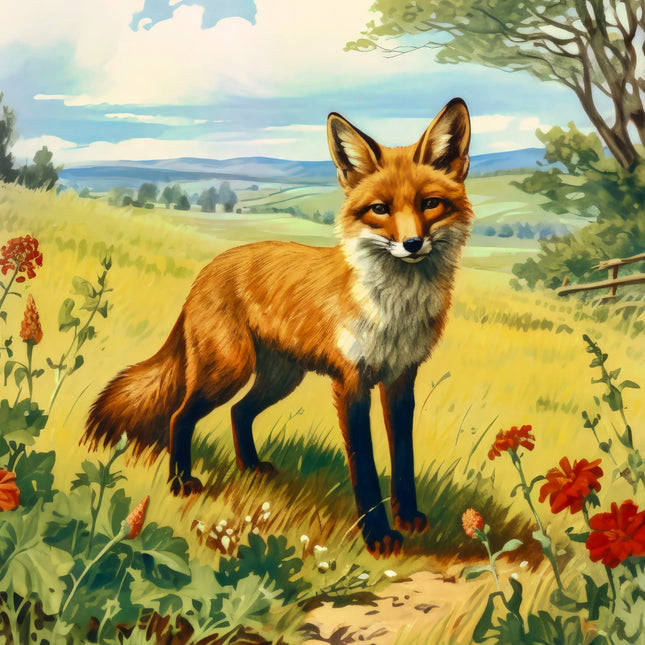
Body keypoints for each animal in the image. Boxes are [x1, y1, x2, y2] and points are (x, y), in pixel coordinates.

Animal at [83, 98, 473, 556]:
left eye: (430, 204)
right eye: (380, 209)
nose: (412, 244)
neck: (395, 310)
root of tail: (208, 269)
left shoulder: (400, 381)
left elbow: (404, 459)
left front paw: (408, 517)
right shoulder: (352, 384)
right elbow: (364, 467)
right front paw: (377, 535)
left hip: (280, 378)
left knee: (238, 412)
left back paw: (250, 467)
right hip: (228, 370)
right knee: (180, 415)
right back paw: (181, 481)